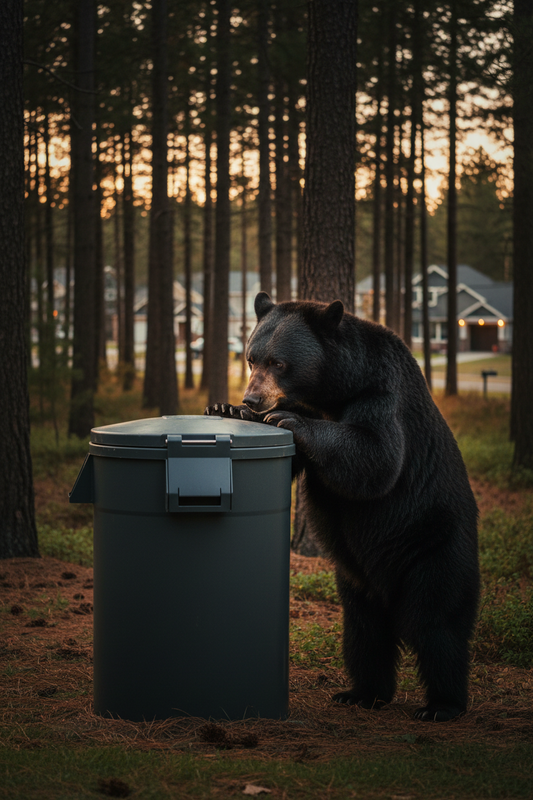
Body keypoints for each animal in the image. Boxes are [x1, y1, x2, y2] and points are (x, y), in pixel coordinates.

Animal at [205, 292, 480, 722]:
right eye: (251, 358)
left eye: (279, 363)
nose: (253, 397)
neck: (334, 391)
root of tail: (388, 589)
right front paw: (228, 409)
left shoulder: (381, 396)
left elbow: (376, 456)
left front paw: (285, 418)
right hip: (356, 580)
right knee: (363, 631)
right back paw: (362, 692)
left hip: (435, 545)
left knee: (437, 623)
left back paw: (442, 704)